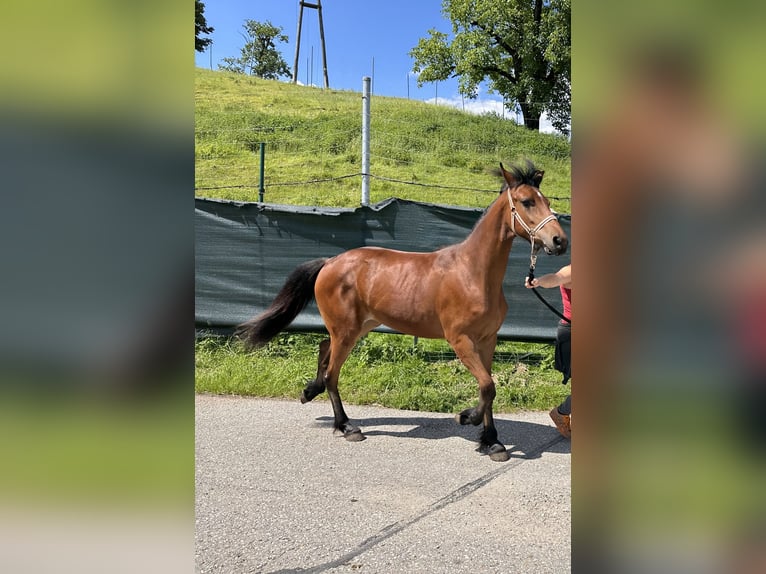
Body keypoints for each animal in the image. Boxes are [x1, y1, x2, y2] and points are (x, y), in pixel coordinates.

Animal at [238, 163, 568, 464]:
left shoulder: (487, 341)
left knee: (323, 348)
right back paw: (346, 427)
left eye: (546, 200)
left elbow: (487, 390)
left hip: (356, 327)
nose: (559, 241)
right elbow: (487, 387)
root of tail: (330, 262)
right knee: (333, 373)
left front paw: (491, 442)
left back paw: (310, 392)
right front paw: (467, 419)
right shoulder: (460, 340)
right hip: (346, 331)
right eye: (527, 201)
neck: (473, 273)